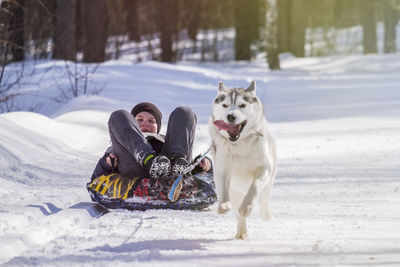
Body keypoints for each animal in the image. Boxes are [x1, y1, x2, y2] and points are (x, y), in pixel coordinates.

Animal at [208, 80, 276, 240]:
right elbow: (222, 188)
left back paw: (264, 214)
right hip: (236, 192)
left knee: (263, 198)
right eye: (225, 105)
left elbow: (255, 186)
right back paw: (241, 232)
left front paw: (247, 206)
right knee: (238, 212)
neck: (239, 144)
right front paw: (223, 205)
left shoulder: (264, 168)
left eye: (242, 105)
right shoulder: (222, 169)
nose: (231, 116)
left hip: (269, 181)